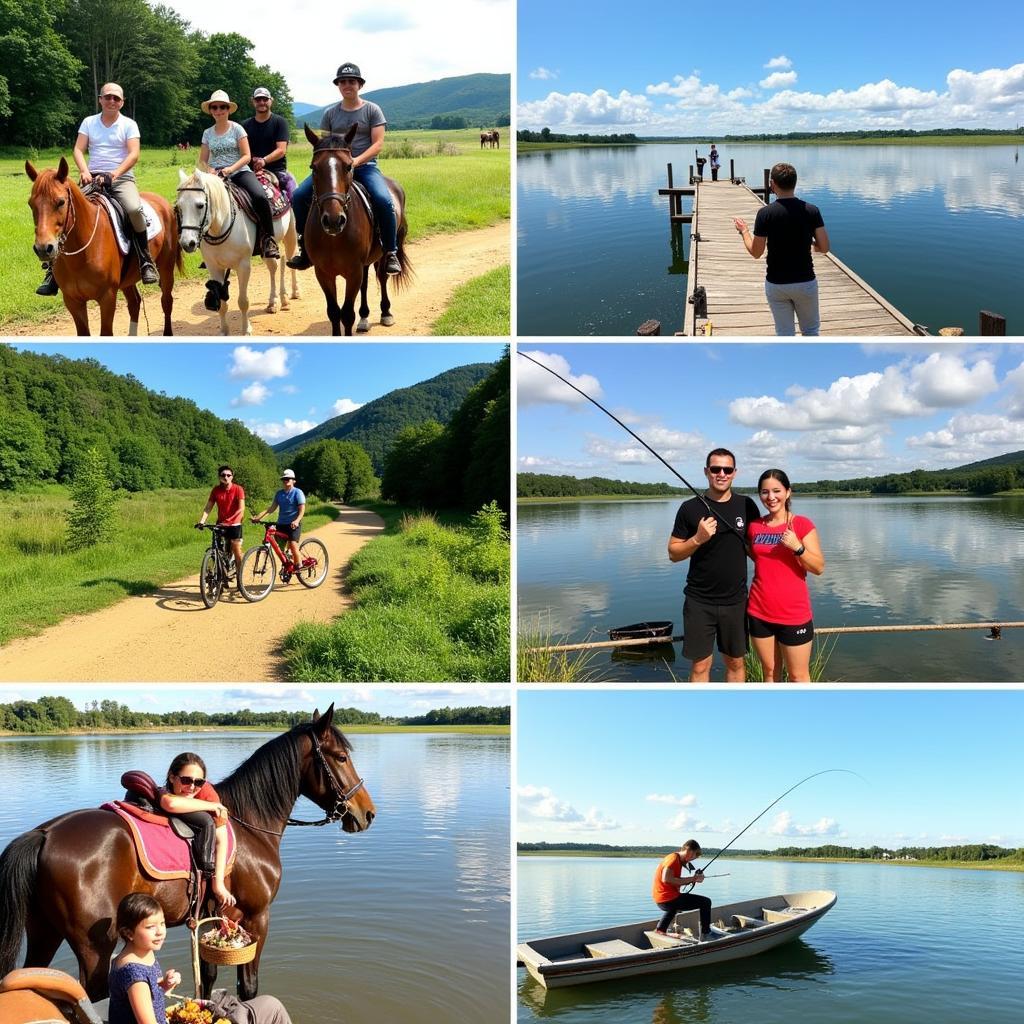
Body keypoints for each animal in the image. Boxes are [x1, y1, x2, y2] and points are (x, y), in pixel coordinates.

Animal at [0, 704, 376, 999]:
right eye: (341, 757)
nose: (367, 813)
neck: (250, 823)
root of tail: (43, 833)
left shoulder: (221, 918)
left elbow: (208, 977)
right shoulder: (257, 917)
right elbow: (249, 987)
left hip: (44, 933)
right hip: (95, 947)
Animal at [25, 157, 182, 335]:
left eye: (61, 202)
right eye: (31, 204)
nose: (43, 248)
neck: (82, 253)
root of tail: (164, 203)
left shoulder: (107, 298)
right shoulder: (73, 301)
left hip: (166, 268)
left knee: (166, 301)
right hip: (127, 280)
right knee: (135, 303)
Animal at [173, 168, 299, 335]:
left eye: (200, 205)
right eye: (179, 207)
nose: (187, 243)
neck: (221, 226)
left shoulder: (243, 265)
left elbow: (243, 301)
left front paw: (246, 330)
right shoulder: (214, 267)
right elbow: (221, 303)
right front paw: (223, 331)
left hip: (289, 234)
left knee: (288, 261)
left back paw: (291, 294)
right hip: (265, 248)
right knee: (274, 267)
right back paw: (274, 302)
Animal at [303, 122, 411, 333]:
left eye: (348, 166)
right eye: (313, 167)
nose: (334, 220)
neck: (333, 238)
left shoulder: (353, 271)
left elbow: (346, 314)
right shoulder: (323, 273)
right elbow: (334, 312)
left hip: (382, 253)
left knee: (382, 277)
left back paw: (386, 313)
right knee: (366, 283)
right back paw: (364, 317)